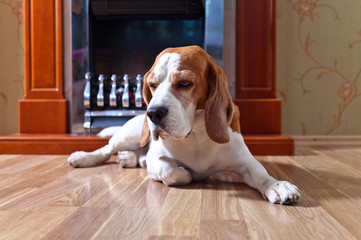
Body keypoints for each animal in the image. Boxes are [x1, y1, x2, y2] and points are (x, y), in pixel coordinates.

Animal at [67, 45, 298, 204]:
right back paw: (84, 157)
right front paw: (187, 173)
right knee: (107, 149)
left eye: (185, 83)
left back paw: (131, 158)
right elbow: (170, 169)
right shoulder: (158, 158)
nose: (152, 113)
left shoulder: (245, 162)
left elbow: (261, 173)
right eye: (152, 85)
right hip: (129, 134)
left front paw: (278, 186)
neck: (195, 134)